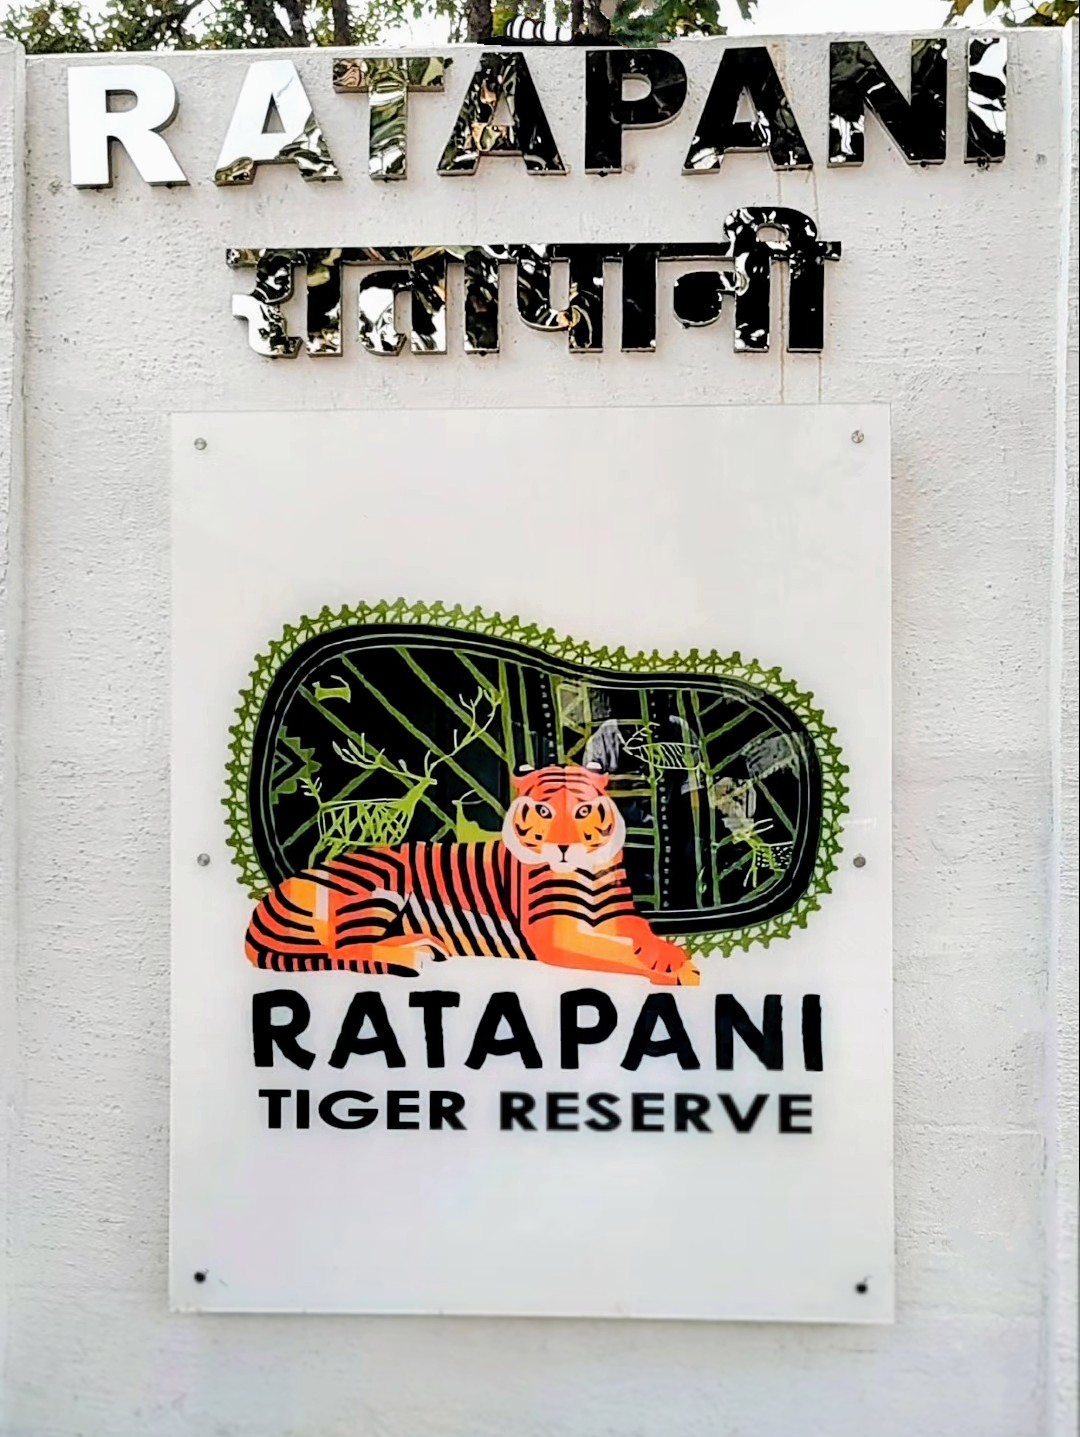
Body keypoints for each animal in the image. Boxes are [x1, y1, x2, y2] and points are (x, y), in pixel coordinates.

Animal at [244, 762, 699, 986]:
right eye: (544, 810)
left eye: (584, 809)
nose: (564, 847)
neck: (585, 870)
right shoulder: (555, 934)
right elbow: (617, 953)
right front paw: (678, 972)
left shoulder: (618, 914)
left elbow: (640, 932)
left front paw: (669, 955)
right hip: (381, 887)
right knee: (347, 950)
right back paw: (411, 956)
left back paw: (423, 943)